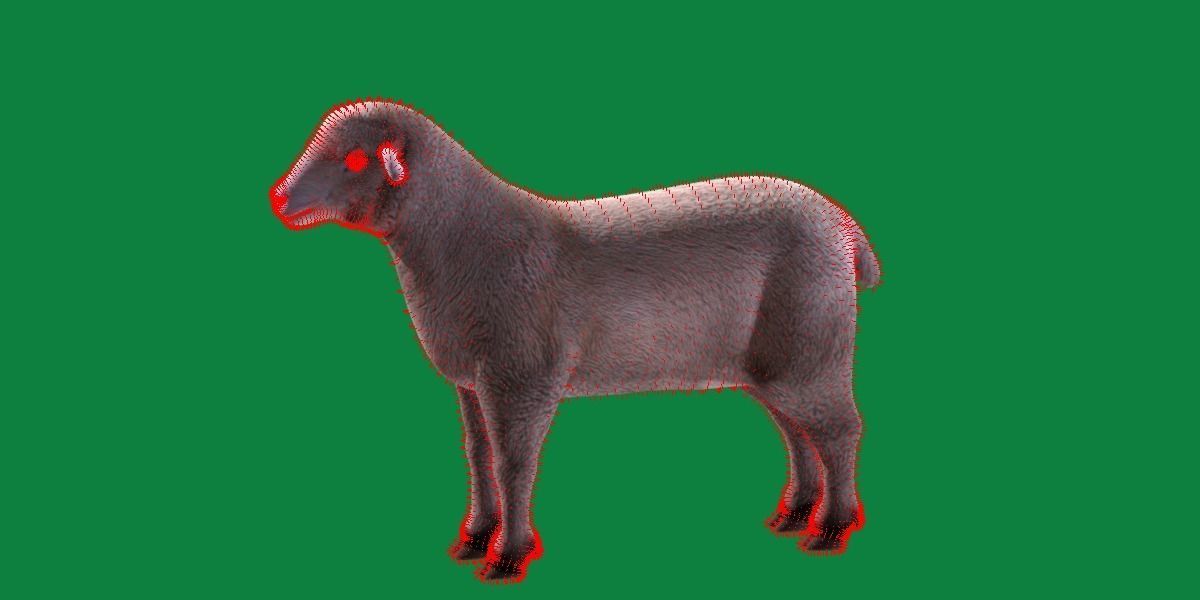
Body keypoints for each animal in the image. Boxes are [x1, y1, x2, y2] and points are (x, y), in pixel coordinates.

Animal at [268, 99, 882, 582]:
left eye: (353, 159)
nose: (279, 199)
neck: (464, 243)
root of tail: (844, 229)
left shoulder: (522, 375)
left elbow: (514, 462)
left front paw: (506, 558)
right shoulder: (470, 380)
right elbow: (478, 455)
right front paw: (472, 540)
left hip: (813, 344)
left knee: (840, 431)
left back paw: (829, 530)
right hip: (771, 361)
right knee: (799, 433)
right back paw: (792, 516)